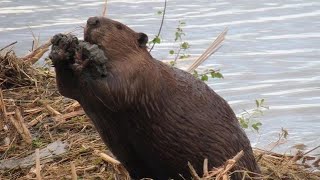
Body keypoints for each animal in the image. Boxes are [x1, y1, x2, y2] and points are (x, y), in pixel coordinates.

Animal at [49, 16, 260, 179]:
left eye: (118, 26)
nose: (92, 20)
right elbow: (66, 88)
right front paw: (61, 48)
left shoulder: (139, 74)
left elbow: (114, 92)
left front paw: (90, 55)